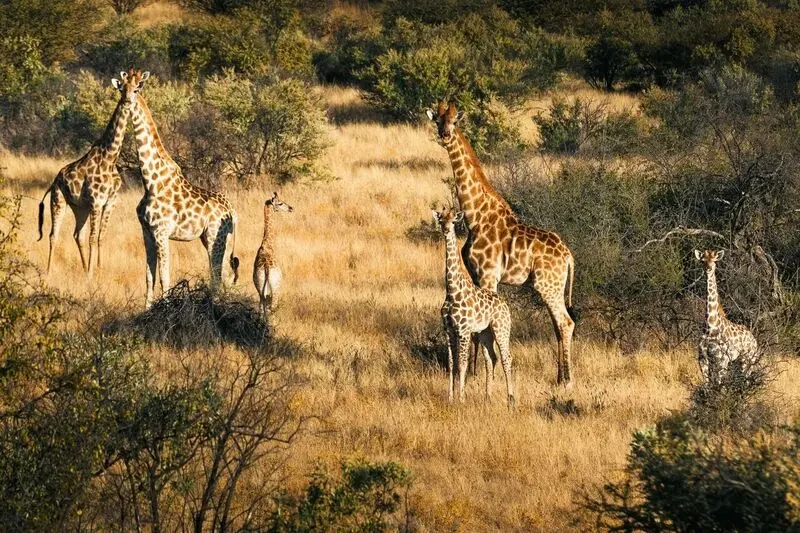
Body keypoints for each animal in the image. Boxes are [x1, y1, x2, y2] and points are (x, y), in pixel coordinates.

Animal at [37, 71, 133, 277]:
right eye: (121, 88)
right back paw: (49, 272)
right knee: (53, 235)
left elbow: (101, 237)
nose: (128, 100)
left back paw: (82, 268)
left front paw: (98, 269)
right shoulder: (96, 202)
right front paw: (90, 274)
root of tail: (54, 182)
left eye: (136, 88)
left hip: (79, 207)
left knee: (77, 235)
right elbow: (93, 237)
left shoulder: (110, 202)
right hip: (59, 201)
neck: (110, 157)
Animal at [126, 69, 240, 308]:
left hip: (215, 236)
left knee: (217, 274)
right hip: (215, 239)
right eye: (122, 87)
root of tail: (232, 211)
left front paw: (165, 306)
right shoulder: (146, 231)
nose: (126, 100)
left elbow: (164, 275)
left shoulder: (161, 232)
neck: (150, 181)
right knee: (223, 274)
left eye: (137, 88)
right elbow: (148, 276)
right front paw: (147, 309)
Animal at [427, 102, 576, 386]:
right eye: (437, 121)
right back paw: (559, 377)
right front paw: (475, 373)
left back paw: (568, 381)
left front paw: (480, 375)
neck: (475, 216)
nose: (445, 136)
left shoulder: (488, 274)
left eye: (454, 121)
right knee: (558, 323)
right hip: (552, 286)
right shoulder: (476, 275)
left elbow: (481, 328)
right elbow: (477, 326)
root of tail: (569, 257)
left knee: (565, 322)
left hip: (547, 285)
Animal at [434, 207, 515, 408]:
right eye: (440, 220)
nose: (446, 230)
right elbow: (451, 362)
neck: (452, 290)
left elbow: (462, 363)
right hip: (485, 332)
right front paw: (450, 397)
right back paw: (488, 397)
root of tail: (505, 305)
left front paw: (461, 398)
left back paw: (511, 399)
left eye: (453, 221)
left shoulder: (463, 330)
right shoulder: (448, 330)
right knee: (491, 358)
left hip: (501, 328)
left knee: (506, 357)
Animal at [695, 249, 758, 384]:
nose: (708, 269)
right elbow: (707, 384)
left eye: (714, 260)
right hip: (739, 360)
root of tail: (754, 338)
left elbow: (720, 385)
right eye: (702, 260)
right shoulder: (702, 358)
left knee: (746, 379)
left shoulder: (722, 359)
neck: (710, 325)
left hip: (749, 358)